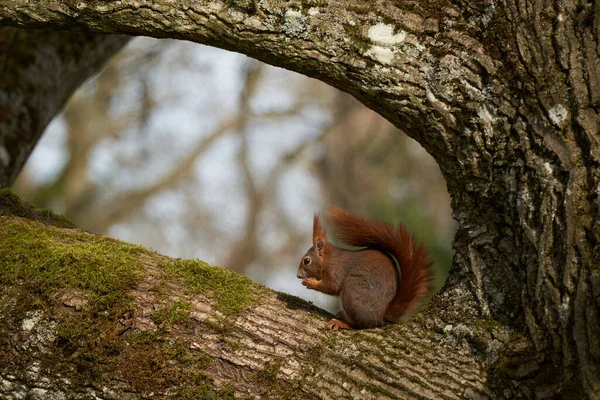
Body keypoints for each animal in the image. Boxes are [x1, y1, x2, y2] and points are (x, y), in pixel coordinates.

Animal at [298, 208, 434, 330]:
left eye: (306, 261)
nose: (298, 275)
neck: (329, 260)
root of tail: (381, 313)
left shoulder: (337, 269)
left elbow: (332, 286)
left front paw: (311, 282)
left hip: (352, 289)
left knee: (360, 325)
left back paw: (342, 323)